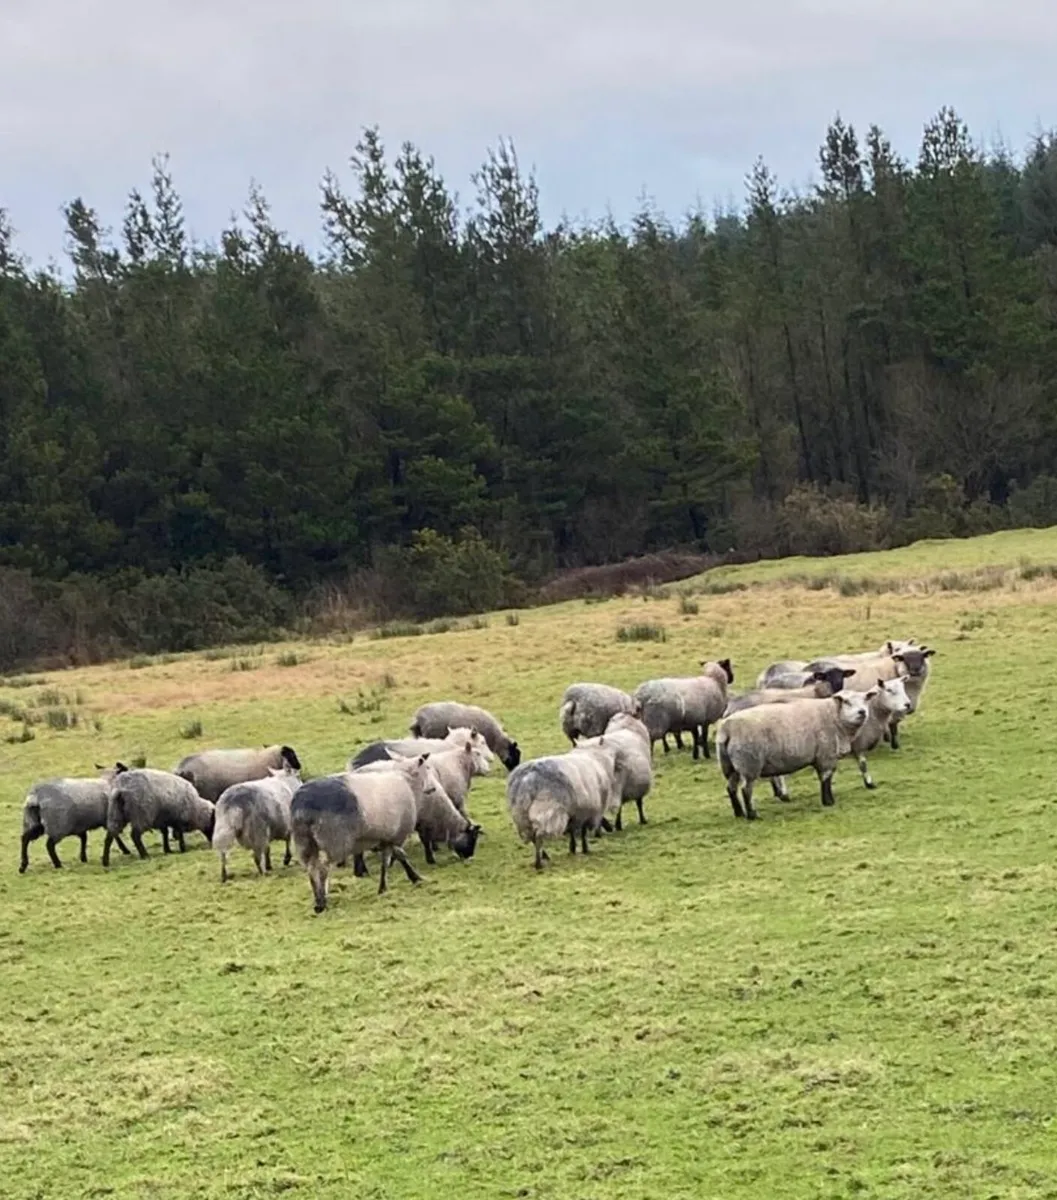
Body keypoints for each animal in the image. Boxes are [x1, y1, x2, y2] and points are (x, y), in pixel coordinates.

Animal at [290, 755, 438, 910]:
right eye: (426, 768)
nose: (432, 789)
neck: (407, 781)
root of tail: (303, 805)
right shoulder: (396, 834)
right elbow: (398, 856)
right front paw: (413, 878)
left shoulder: (386, 837)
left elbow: (389, 860)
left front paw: (388, 886)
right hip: (333, 839)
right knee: (323, 868)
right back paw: (322, 901)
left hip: (304, 841)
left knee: (311, 868)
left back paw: (318, 902)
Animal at [506, 741, 626, 870]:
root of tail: (527, 779)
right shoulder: (587, 811)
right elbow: (582, 832)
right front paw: (584, 849)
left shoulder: (575, 812)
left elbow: (572, 831)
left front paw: (572, 849)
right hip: (547, 810)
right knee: (538, 836)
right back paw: (539, 862)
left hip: (520, 813)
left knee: (532, 836)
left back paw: (545, 856)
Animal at [716, 691, 871, 819]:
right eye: (847, 702)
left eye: (865, 699)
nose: (862, 712)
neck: (833, 716)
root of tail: (726, 729)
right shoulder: (826, 756)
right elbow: (826, 779)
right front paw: (828, 802)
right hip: (749, 763)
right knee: (746, 790)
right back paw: (752, 815)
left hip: (730, 766)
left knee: (731, 788)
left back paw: (739, 813)